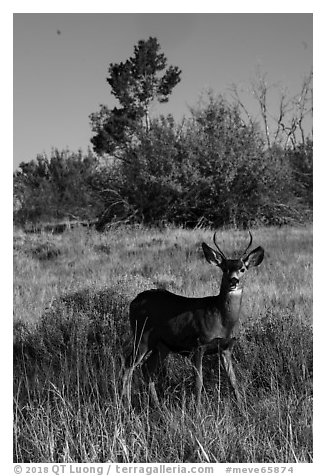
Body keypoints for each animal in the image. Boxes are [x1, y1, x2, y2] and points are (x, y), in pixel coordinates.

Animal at [121, 231, 264, 406]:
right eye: (224, 268)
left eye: (242, 268)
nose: (234, 281)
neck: (223, 321)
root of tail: (133, 301)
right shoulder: (198, 345)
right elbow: (198, 382)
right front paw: (198, 409)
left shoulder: (226, 347)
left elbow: (233, 381)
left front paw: (242, 407)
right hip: (141, 336)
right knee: (128, 366)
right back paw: (126, 405)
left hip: (162, 345)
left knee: (147, 368)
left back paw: (158, 406)